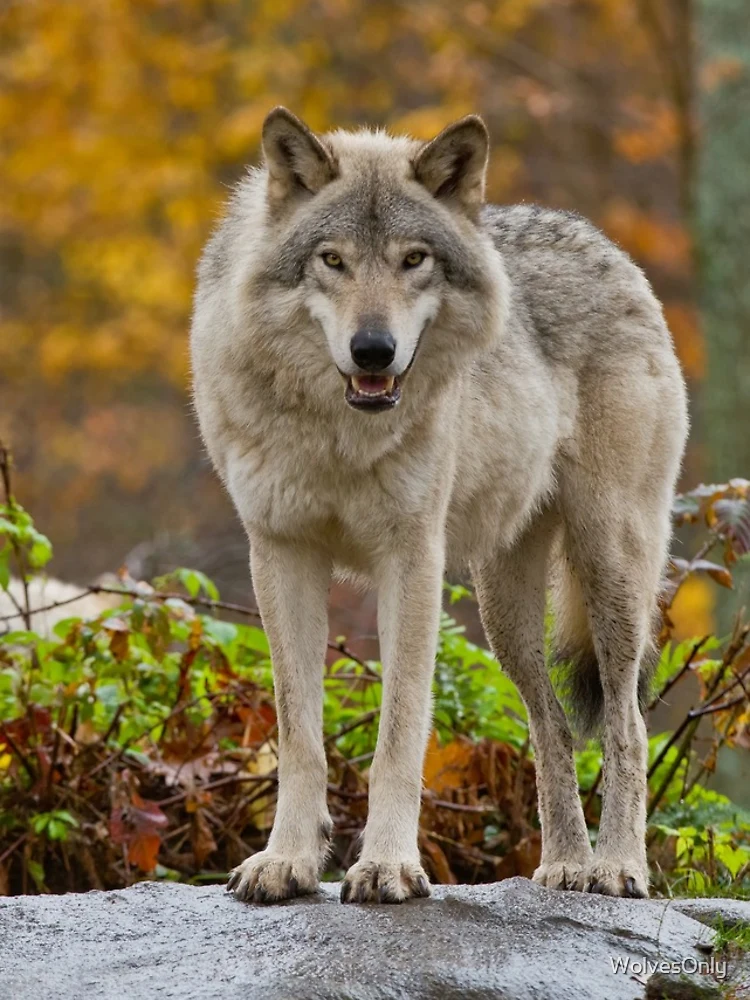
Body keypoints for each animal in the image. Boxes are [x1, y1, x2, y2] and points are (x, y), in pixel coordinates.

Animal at [190, 107, 688, 904]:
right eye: (332, 260)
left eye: (414, 260)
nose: (373, 350)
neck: (340, 433)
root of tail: (605, 244)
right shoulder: (280, 553)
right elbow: (299, 734)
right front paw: (288, 861)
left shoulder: (412, 559)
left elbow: (399, 734)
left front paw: (388, 866)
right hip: (504, 612)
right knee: (551, 726)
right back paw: (564, 867)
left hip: (610, 568)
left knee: (627, 722)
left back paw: (617, 866)